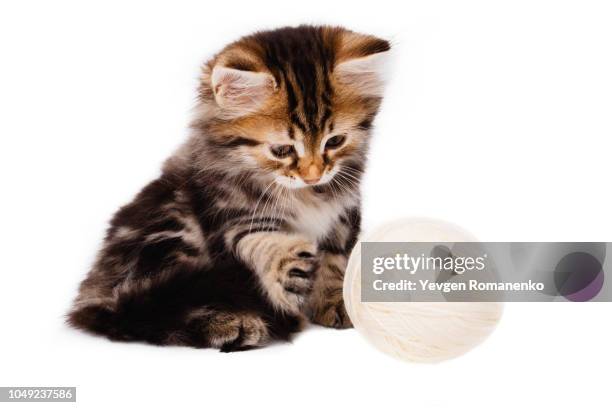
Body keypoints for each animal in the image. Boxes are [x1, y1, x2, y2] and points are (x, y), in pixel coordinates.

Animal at [68, 24, 392, 350]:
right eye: (282, 150)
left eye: (335, 141)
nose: (313, 175)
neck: (305, 194)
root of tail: (94, 288)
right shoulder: (231, 217)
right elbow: (260, 243)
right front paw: (287, 266)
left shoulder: (344, 213)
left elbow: (336, 260)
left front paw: (337, 301)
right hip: (170, 225)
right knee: (158, 308)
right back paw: (231, 323)